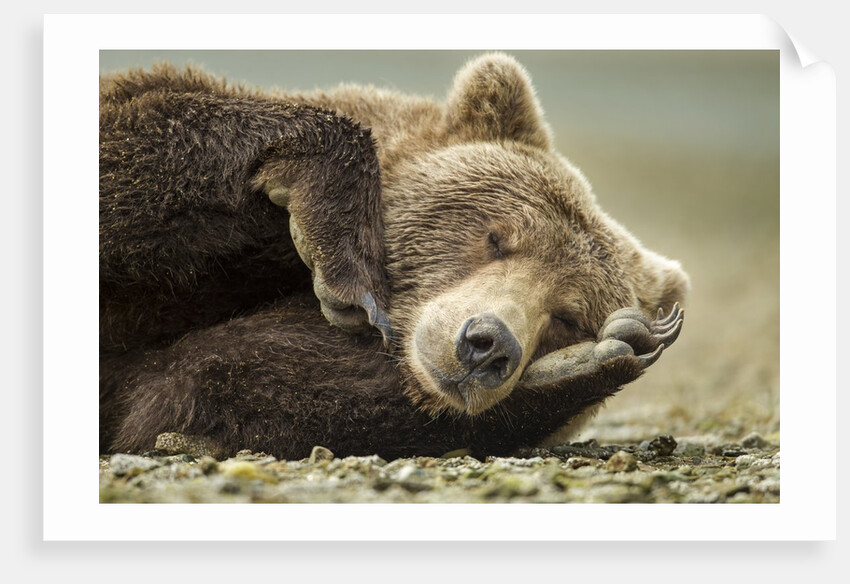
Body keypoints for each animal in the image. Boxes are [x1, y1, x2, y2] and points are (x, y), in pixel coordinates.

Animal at [99, 53, 689, 460]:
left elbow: (196, 386)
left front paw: (592, 359)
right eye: (497, 238)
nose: (487, 344)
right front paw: (344, 268)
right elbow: (140, 125)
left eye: (568, 317)